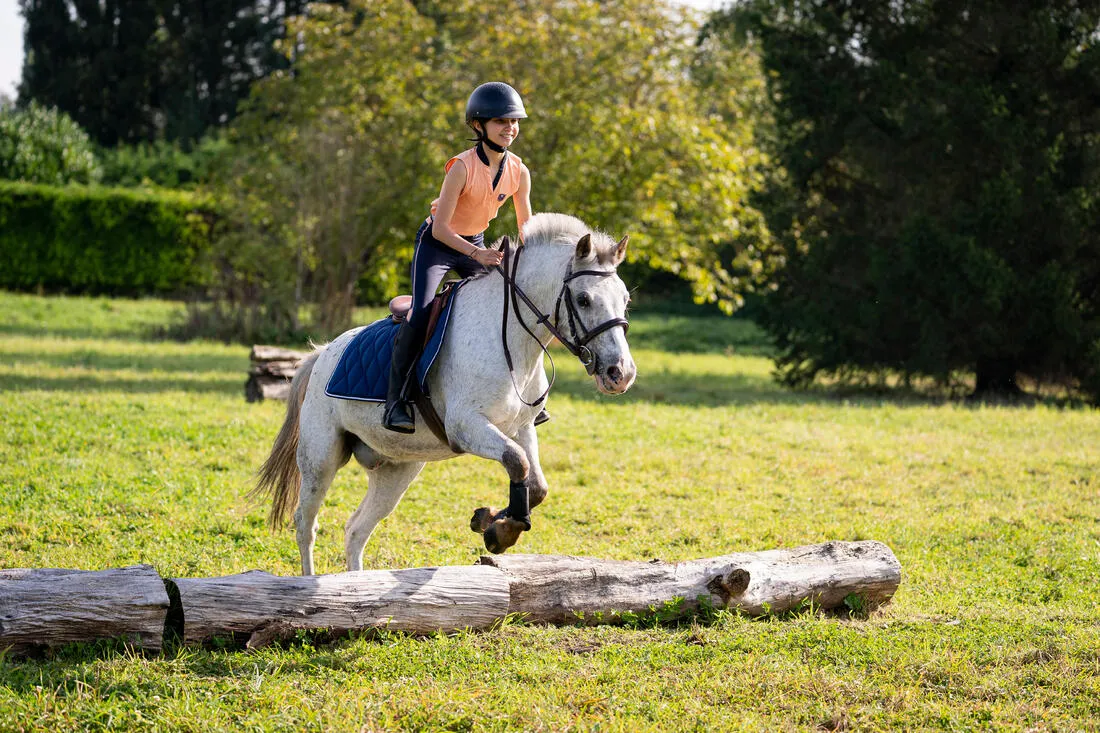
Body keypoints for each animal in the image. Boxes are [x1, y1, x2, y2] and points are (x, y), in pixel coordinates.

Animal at [251, 211, 638, 572]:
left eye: (625, 299)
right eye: (584, 299)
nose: (620, 373)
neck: (511, 339)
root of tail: (323, 354)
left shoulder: (520, 427)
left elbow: (535, 484)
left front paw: (490, 522)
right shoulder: (466, 426)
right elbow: (517, 462)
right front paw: (499, 531)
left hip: (397, 468)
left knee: (356, 530)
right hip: (320, 457)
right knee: (306, 524)